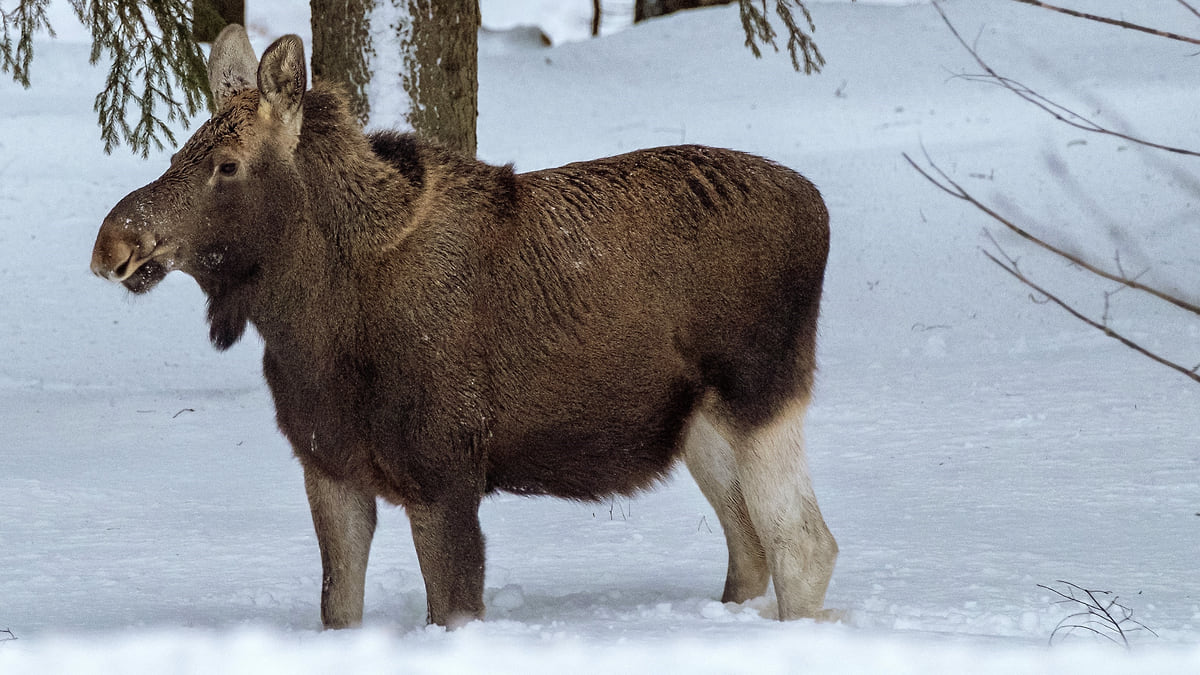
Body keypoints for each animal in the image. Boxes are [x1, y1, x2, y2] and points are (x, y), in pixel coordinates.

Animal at [88, 24, 840, 624]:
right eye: (177, 153)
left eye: (226, 165)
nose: (111, 244)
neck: (309, 326)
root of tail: (819, 206)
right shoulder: (329, 465)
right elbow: (337, 607)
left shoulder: (443, 470)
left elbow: (451, 607)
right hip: (700, 423)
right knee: (750, 549)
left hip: (761, 395)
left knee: (804, 544)